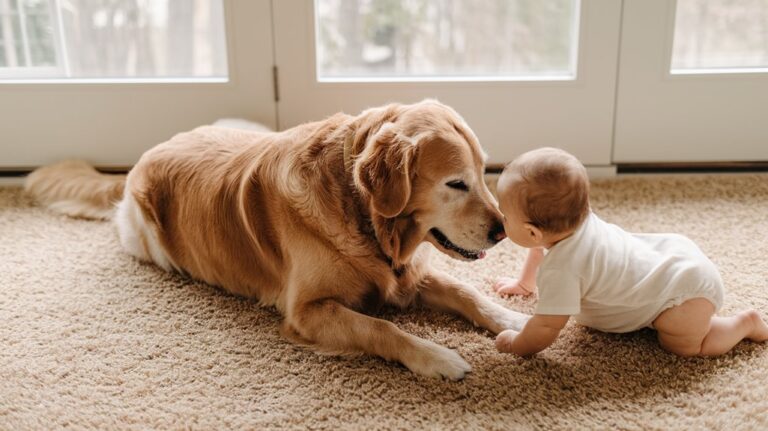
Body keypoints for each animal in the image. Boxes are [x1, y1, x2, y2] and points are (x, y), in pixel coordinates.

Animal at [24, 99, 528, 380]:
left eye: (484, 172)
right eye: (456, 183)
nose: (503, 230)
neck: (364, 216)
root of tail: (140, 160)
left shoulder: (407, 275)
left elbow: (466, 292)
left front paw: (514, 319)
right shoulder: (307, 311)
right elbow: (380, 328)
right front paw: (438, 357)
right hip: (148, 239)